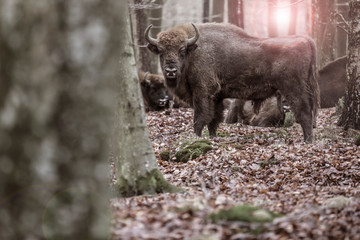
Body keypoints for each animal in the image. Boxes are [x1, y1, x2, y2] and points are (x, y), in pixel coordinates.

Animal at [145, 22, 320, 142]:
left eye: (182, 50)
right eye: (161, 51)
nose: (171, 71)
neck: (194, 51)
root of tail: (306, 40)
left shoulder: (203, 93)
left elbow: (200, 119)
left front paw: (195, 138)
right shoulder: (216, 97)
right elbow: (213, 120)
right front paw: (212, 138)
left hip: (293, 88)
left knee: (304, 113)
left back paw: (307, 141)